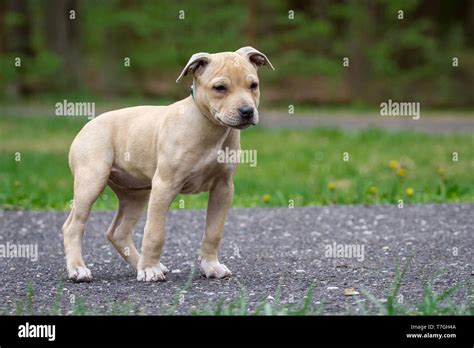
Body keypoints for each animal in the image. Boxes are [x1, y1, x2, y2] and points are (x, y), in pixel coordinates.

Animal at [62, 46, 274, 282]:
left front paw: (211, 266)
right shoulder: (165, 185)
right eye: (219, 88)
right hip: (91, 181)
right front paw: (149, 269)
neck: (209, 126)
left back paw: (140, 264)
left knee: (118, 232)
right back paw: (79, 269)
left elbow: (214, 231)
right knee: (73, 226)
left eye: (253, 85)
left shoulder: (223, 188)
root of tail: (87, 125)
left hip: (135, 194)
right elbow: (155, 232)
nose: (247, 111)